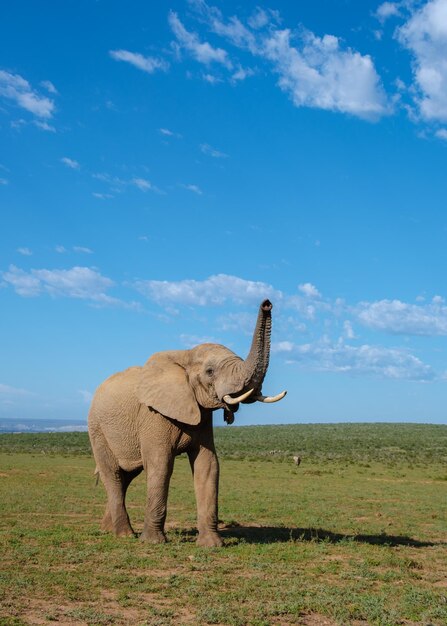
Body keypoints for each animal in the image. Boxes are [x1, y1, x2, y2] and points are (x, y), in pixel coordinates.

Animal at [88, 298, 288, 544]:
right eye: (210, 371)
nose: (267, 303)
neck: (184, 354)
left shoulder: (201, 415)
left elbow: (208, 465)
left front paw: (212, 545)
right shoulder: (153, 415)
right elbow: (160, 465)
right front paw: (153, 542)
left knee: (125, 477)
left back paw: (108, 530)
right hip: (97, 428)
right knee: (113, 475)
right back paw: (124, 535)